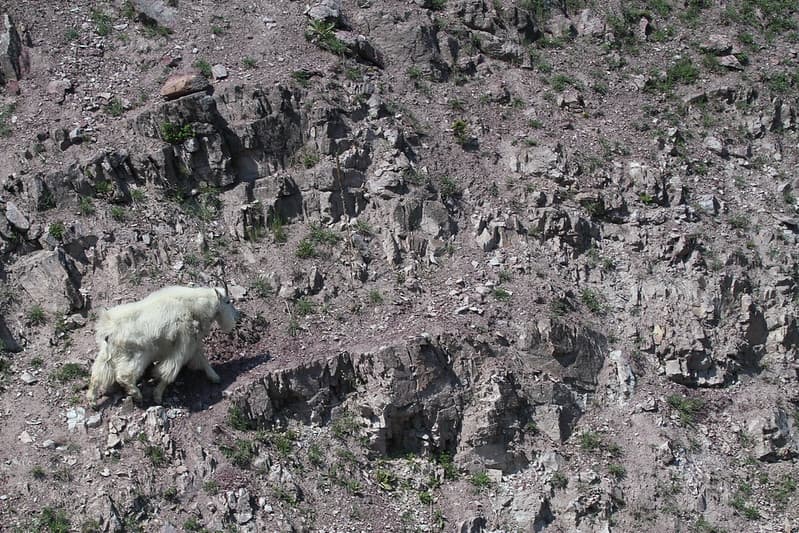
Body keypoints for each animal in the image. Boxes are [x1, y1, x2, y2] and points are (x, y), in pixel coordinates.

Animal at [87, 286, 239, 405]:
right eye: (227, 301)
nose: (238, 315)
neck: (194, 307)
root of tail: (109, 330)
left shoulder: (193, 343)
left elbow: (202, 358)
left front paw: (215, 377)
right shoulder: (183, 345)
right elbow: (170, 371)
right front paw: (157, 396)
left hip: (107, 355)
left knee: (97, 376)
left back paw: (92, 401)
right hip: (136, 356)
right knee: (123, 376)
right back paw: (137, 395)